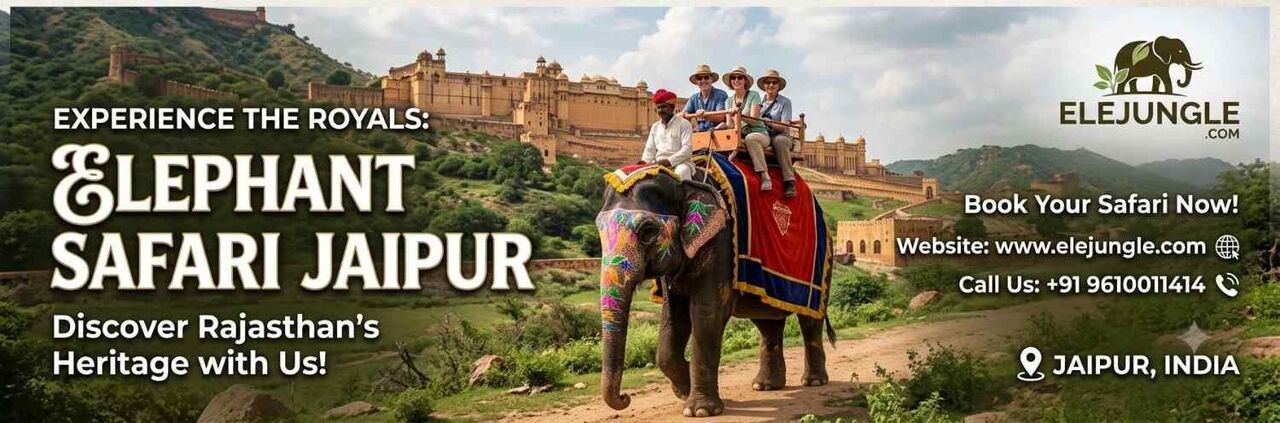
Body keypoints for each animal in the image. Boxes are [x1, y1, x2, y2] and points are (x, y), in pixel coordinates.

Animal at [596, 168, 833, 418]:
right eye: (598, 229)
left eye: (647, 231)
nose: (625, 397)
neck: (682, 184)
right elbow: (672, 319)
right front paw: (684, 391)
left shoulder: (722, 241)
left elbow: (706, 314)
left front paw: (699, 410)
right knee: (767, 321)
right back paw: (765, 386)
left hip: (822, 263)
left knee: (810, 321)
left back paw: (813, 382)